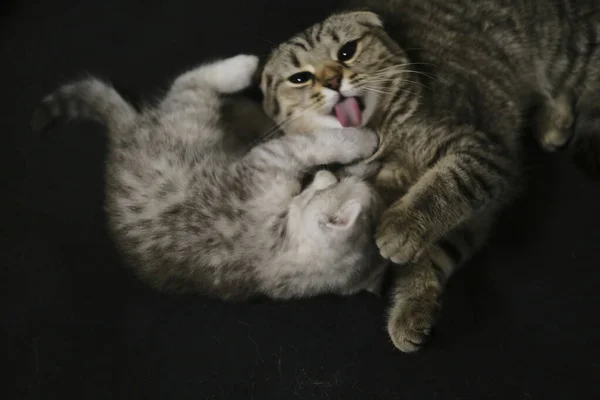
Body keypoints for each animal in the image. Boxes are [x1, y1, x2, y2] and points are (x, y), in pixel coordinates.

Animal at [32, 55, 386, 300]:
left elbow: (307, 146)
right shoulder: (266, 161)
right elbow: (311, 144)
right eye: (339, 181)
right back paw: (242, 68)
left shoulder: (263, 164)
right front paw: (359, 139)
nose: (325, 175)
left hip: (189, 119)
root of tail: (125, 136)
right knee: (188, 82)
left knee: (187, 86)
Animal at [262, 0, 600, 350]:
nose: (331, 80)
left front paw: (400, 226)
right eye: (300, 78)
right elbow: (432, 255)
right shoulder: (472, 220)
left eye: (347, 51)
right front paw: (412, 309)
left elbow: (444, 186)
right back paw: (554, 124)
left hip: (573, 54)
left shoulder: (482, 150)